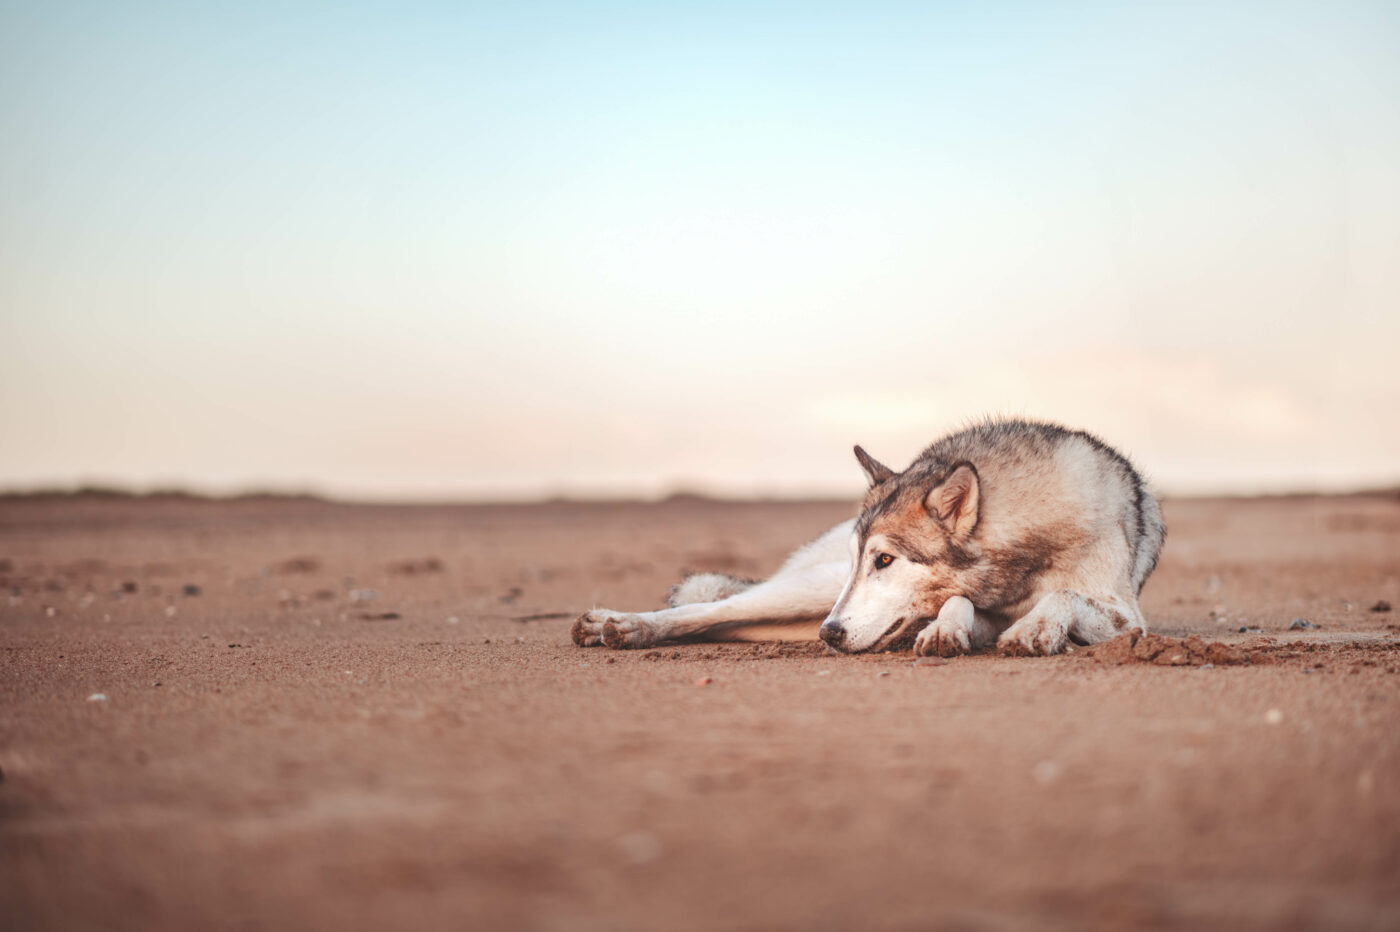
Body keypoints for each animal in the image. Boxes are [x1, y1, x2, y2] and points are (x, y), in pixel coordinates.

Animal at [565, 417, 1159, 657]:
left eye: (885, 561)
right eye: (863, 560)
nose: (830, 635)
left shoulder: (1128, 619)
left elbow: (1064, 596)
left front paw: (1033, 629)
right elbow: (960, 602)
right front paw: (945, 628)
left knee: (723, 623)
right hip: (808, 592)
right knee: (706, 609)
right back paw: (621, 625)